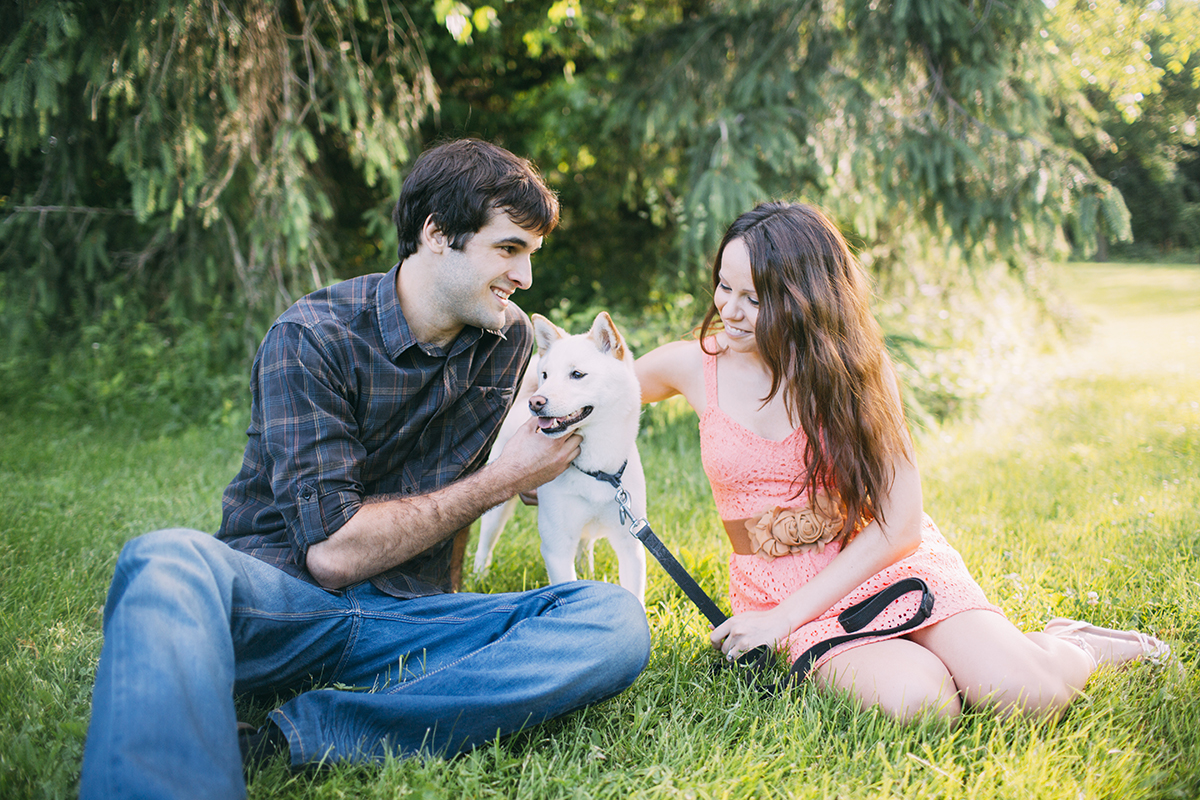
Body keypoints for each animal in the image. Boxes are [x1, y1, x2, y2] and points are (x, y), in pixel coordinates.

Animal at [475, 309, 652, 604]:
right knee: (484, 545)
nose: (535, 402)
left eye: (577, 374)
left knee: (585, 547)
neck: (596, 471)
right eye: (546, 375)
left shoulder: (631, 547)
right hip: (496, 510)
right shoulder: (556, 549)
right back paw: (479, 578)